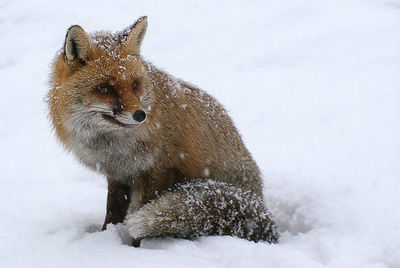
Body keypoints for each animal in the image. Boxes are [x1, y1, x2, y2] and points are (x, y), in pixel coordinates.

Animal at [47, 16, 278, 247]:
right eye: (105, 89)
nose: (140, 115)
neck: (115, 147)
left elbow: (142, 211)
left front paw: (135, 248)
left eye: (135, 85)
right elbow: (113, 213)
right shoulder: (118, 175)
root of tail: (259, 201)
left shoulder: (160, 169)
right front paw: (108, 236)